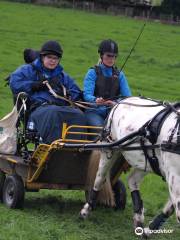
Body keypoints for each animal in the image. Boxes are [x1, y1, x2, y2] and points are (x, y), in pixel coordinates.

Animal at [80, 96, 180, 237]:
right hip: (110, 149)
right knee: (99, 178)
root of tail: (120, 100)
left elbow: (170, 209)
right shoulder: (175, 176)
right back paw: (87, 209)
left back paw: (138, 218)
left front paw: (149, 230)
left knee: (132, 180)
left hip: (146, 161)